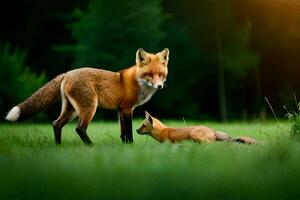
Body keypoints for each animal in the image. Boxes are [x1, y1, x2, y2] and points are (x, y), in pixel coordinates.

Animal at [5, 48, 169, 145]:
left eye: (161, 74)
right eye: (149, 74)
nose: (160, 86)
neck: (137, 82)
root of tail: (67, 73)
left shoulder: (121, 110)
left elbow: (122, 133)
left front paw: (125, 147)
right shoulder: (127, 109)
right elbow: (128, 132)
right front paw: (130, 146)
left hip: (71, 110)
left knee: (56, 124)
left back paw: (58, 146)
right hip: (89, 107)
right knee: (79, 128)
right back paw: (91, 146)